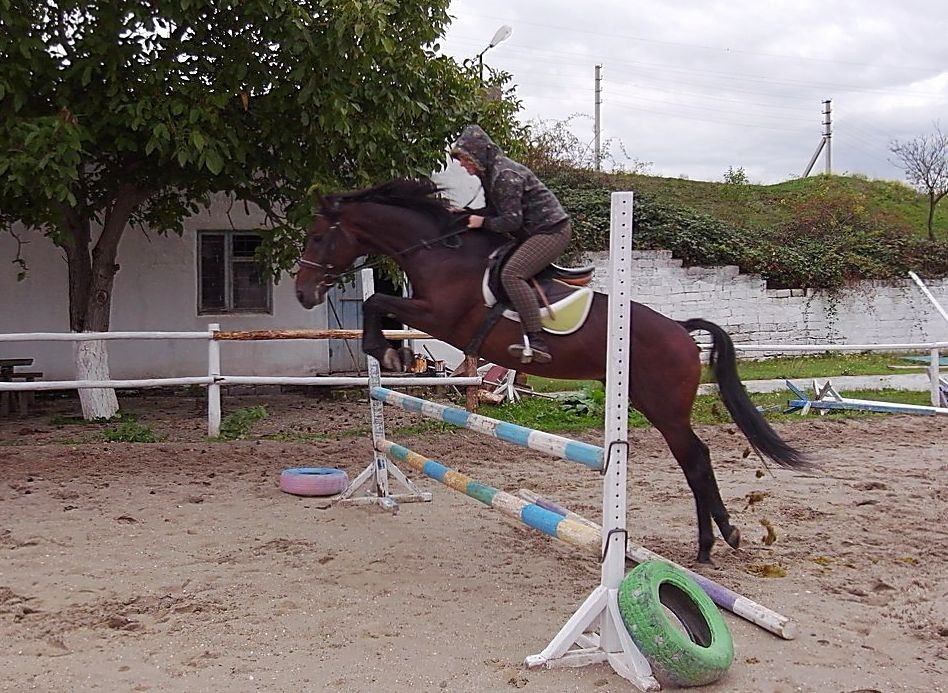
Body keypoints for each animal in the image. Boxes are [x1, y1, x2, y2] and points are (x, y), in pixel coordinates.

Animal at [294, 178, 808, 564]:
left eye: (318, 237)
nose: (302, 293)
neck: (440, 250)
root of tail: (681, 331)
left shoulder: (443, 318)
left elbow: (377, 302)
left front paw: (386, 353)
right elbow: (378, 305)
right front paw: (390, 356)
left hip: (664, 407)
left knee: (696, 460)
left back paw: (714, 543)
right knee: (694, 460)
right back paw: (718, 539)